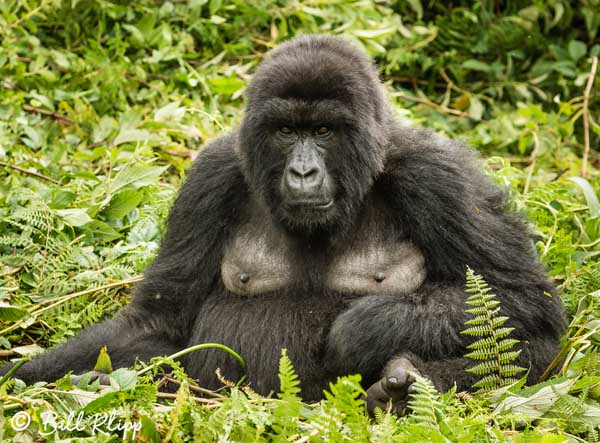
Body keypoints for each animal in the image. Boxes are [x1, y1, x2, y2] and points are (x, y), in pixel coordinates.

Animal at [1, 36, 564, 414]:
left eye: (323, 130)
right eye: (286, 131)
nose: (303, 172)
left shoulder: (435, 174)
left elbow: (522, 299)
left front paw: (364, 328)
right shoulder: (211, 176)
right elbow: (157, 323)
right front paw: (20, 375)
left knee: (528, 348)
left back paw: (404, 384)